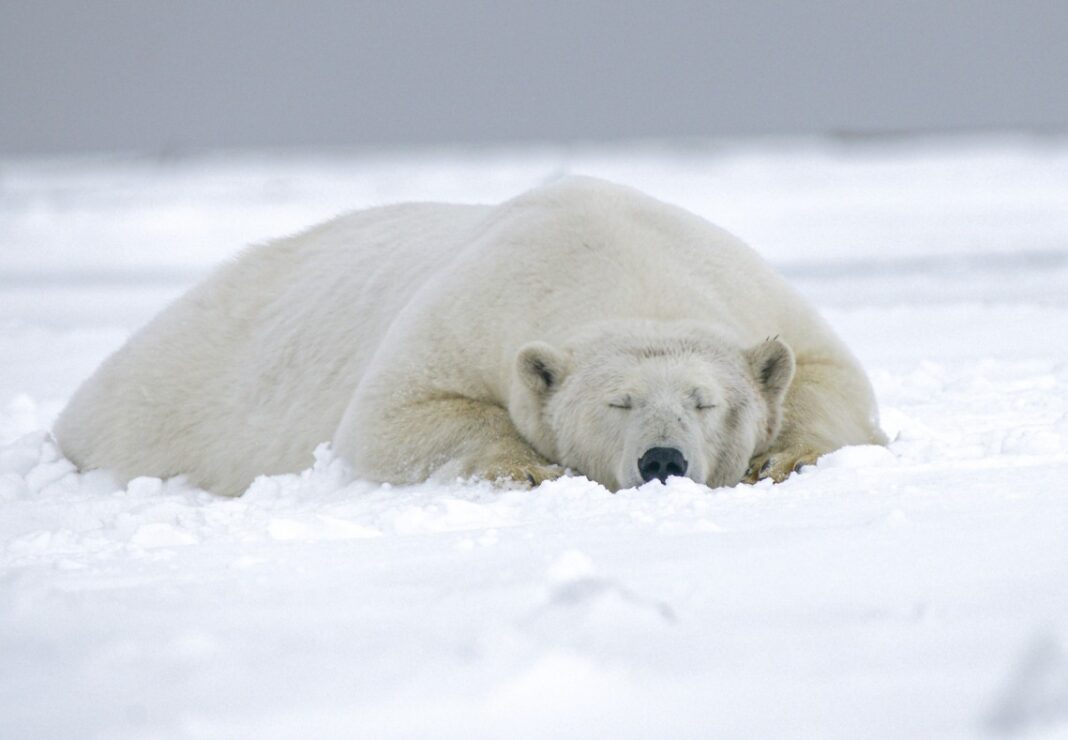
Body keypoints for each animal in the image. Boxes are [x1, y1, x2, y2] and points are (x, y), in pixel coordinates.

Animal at [54, 176, 886, 496]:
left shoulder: (748, 288)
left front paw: (783, 457)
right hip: (164, 399)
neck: (620, 262)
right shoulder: (474, 308)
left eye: (704, 401)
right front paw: (527, 469)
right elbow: (395, 417)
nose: (662, 460)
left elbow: (831, 378)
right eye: (616, 404)